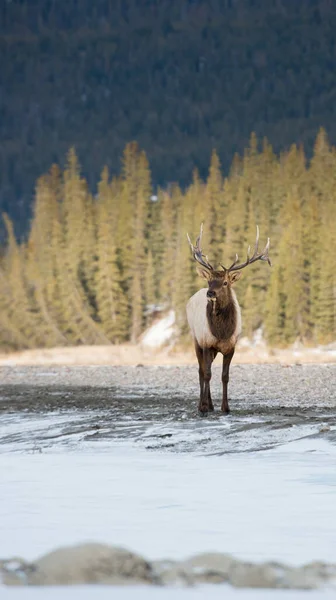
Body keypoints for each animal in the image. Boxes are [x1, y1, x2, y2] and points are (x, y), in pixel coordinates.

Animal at [185, 225, 272, 418]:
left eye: (225, 282)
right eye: (210, 280)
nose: (210, 293)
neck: (222, 332)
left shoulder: (231, 346)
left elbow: (225, 376)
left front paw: (225, 407)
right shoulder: (206, 343)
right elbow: (207, 373)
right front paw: (203, 407)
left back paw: (211, 404)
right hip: (195, 338)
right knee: (201, 370)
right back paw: (203, 404)